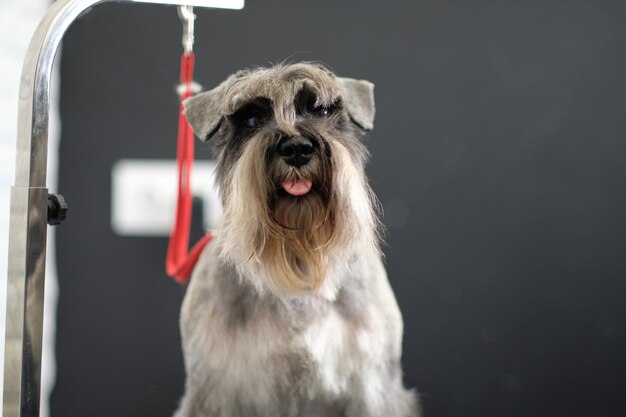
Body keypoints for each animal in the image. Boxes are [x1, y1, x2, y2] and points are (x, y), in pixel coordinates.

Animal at [173, 62, 416, 416]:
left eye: (323, 110)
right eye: (251, 118)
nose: (297, 148)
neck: (299, 264)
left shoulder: (372, 388)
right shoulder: (215, 390)